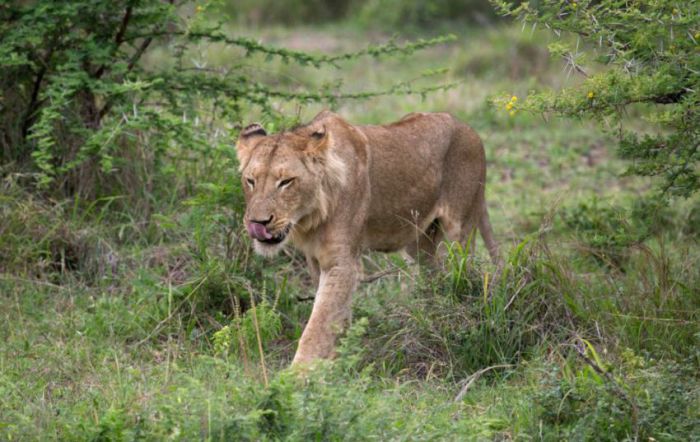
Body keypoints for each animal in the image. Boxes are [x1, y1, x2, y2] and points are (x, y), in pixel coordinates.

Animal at [237, 109, 498, 362]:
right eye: (250, 181)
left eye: (286, 182)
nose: (258, 223)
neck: (311, 218)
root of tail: (469, 129)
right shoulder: (314, 259)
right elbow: (334, 317)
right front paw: (335, 359)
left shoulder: (342, 264)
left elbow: (319, 323)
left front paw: (298, 372)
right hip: (419, 243)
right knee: (433, 276)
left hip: (459, 233)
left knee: (462, 275)